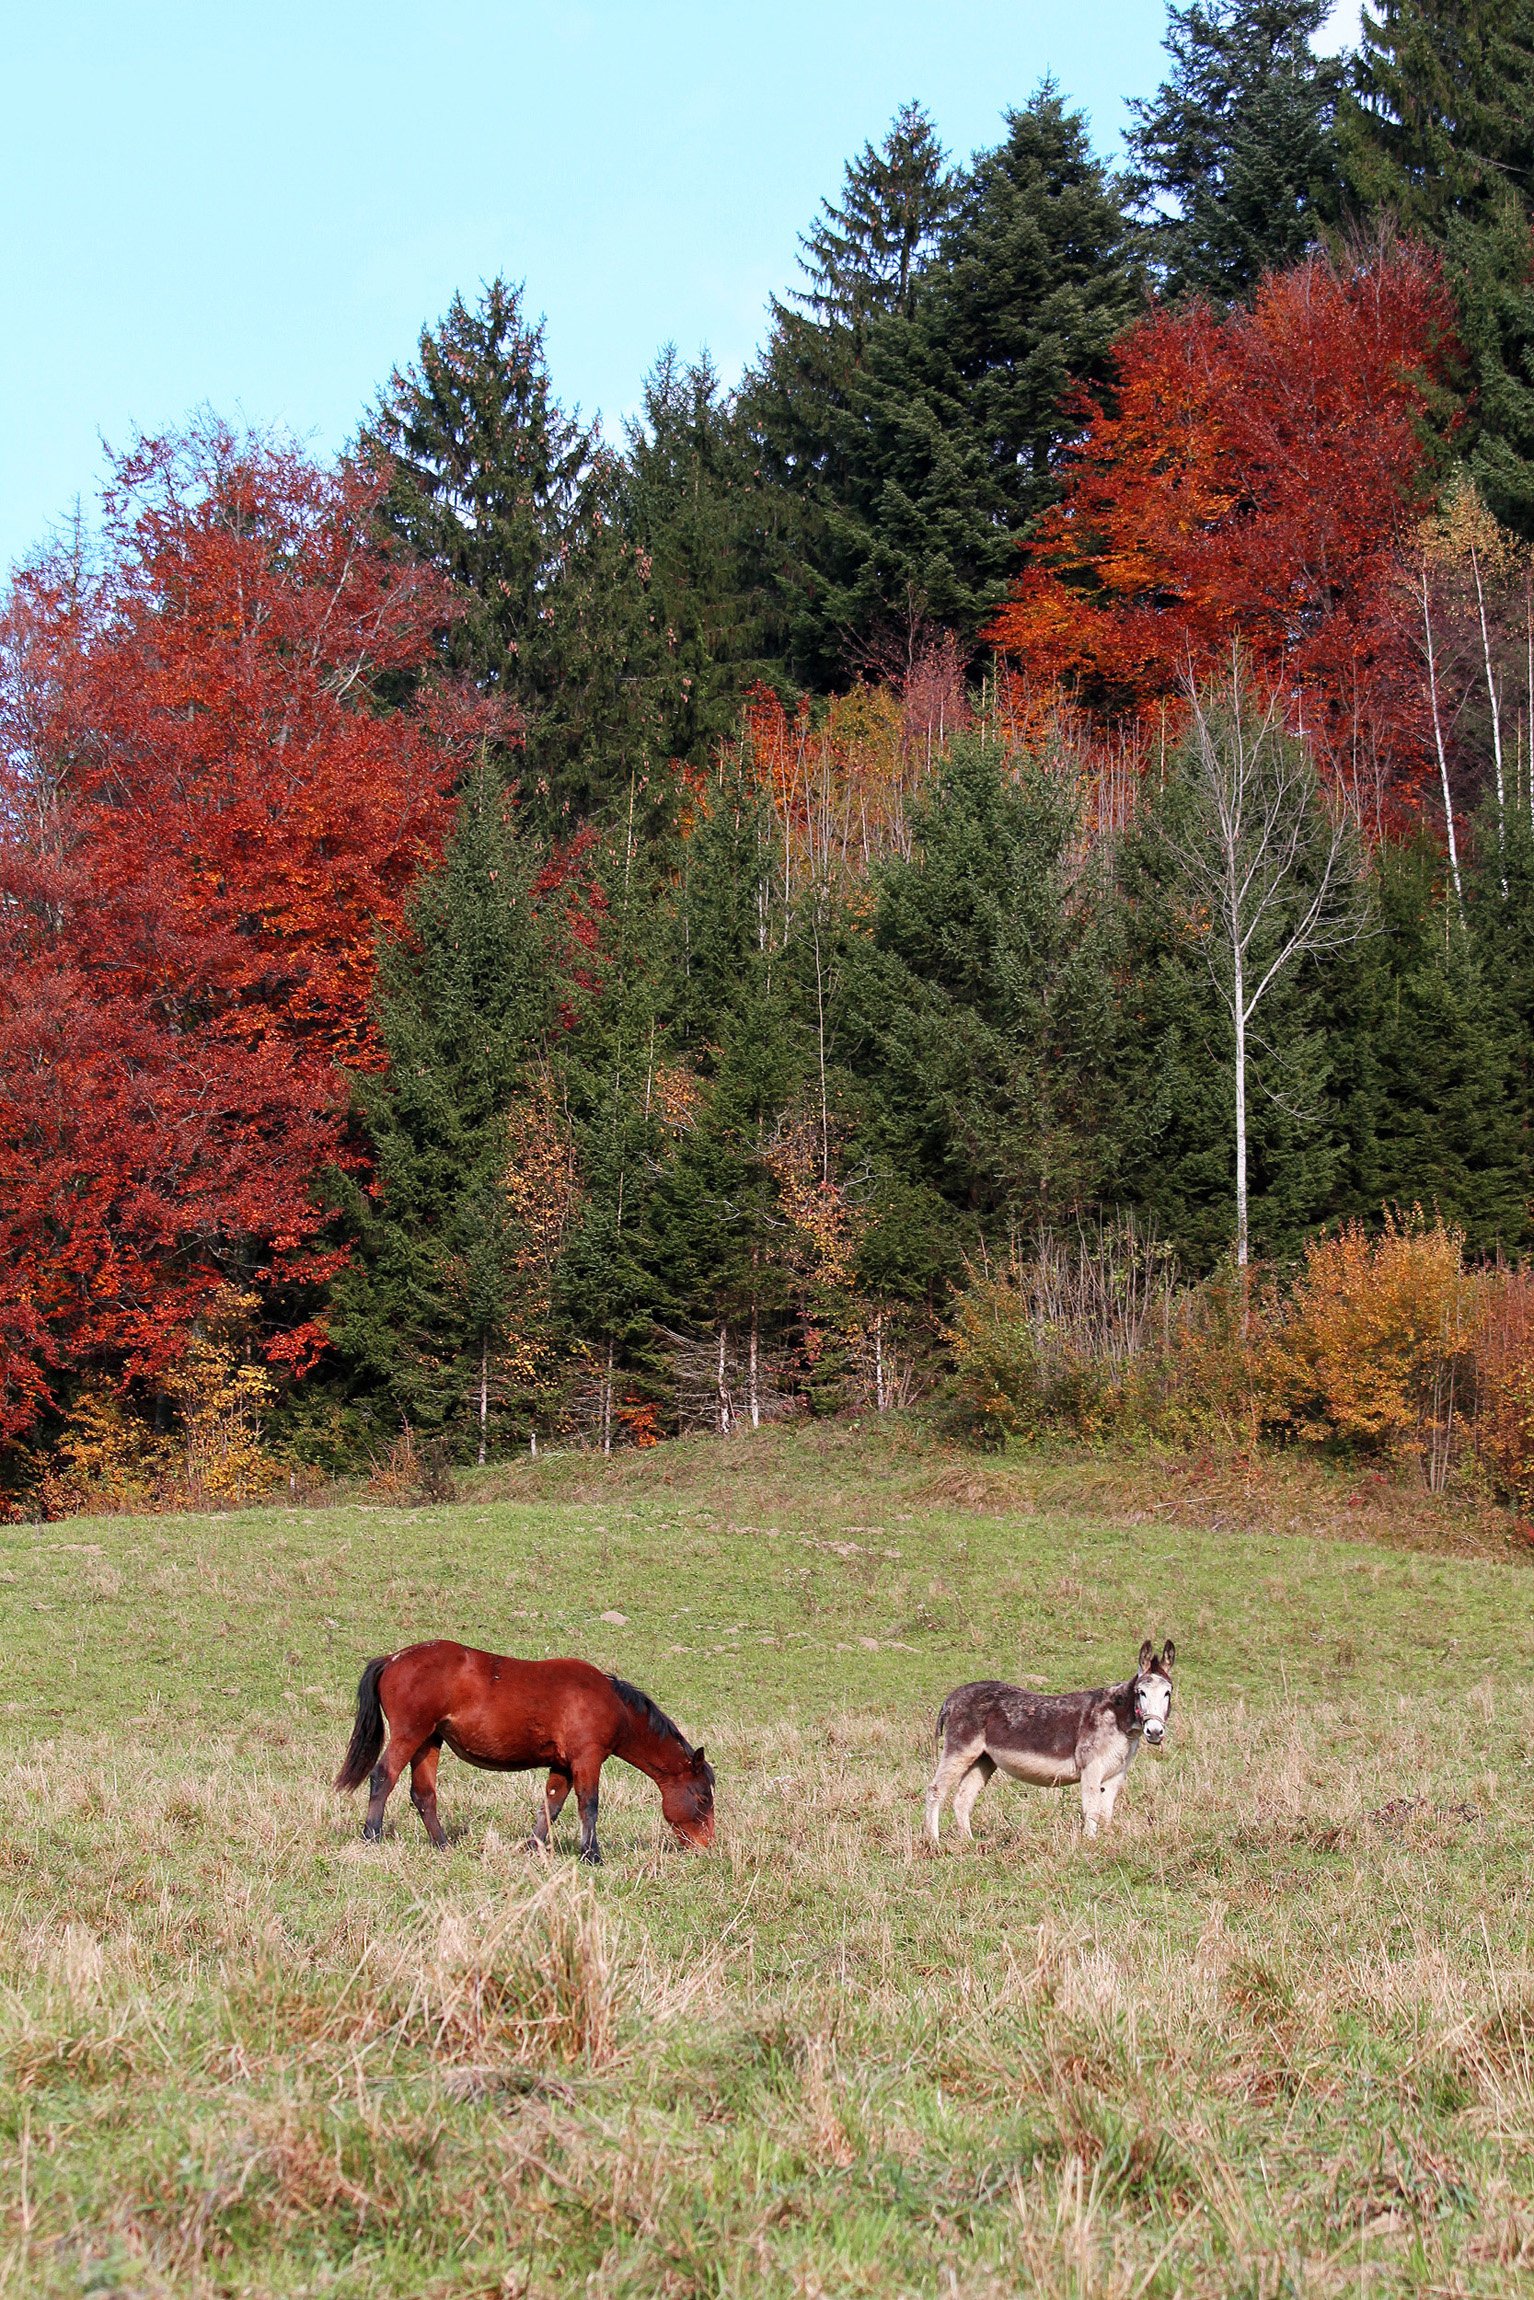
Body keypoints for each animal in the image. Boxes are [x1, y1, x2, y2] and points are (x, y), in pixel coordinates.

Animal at [333, 1637, 717, 1867]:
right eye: (702, 1799)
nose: (707, 1846)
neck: (613, 1704)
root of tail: (394, 1658)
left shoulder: (562, 1765)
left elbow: (552, 1805)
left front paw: (534, 1846)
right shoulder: (587, 1759)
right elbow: (588, 1806)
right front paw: (591, 1855)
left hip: (428, 1741)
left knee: (423, 1793)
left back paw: (442, 1845)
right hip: (409, 1735)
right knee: (383, 1777)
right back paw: (372, 1835)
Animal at [924, 1646, 1177, 1840]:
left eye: (1168, 1693)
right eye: (1141, 1692)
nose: (1155, 1732)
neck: (1117, 1717)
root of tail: (952, 1697)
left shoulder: (1116, 1773)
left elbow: (1106, 1812)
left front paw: (1106, 1843)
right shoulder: (1091, 1769)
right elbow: (1092, 1809)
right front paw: (1090, 1845)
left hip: (984, 1759)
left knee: (962, 1799)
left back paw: (968, 1843)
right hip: (960, 1749)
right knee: (936, 1790)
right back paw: (933, 1841)